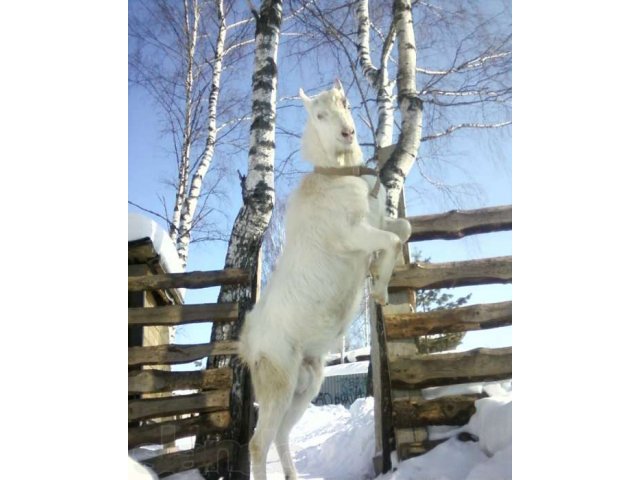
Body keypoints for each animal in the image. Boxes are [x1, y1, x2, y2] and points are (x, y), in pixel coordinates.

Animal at [239, 79, 410, 480]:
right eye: (318, 115)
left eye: (345, 103)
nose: (347, 133)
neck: (340, 176)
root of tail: (249, 344)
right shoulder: (351, 235)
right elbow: (393, 240)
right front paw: (379, 291)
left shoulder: (379, 223)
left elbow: (403, 231)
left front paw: (376, 275)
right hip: (278, 383)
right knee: (258, 443)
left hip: (307, 384)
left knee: (281, 435)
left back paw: (293, 476)